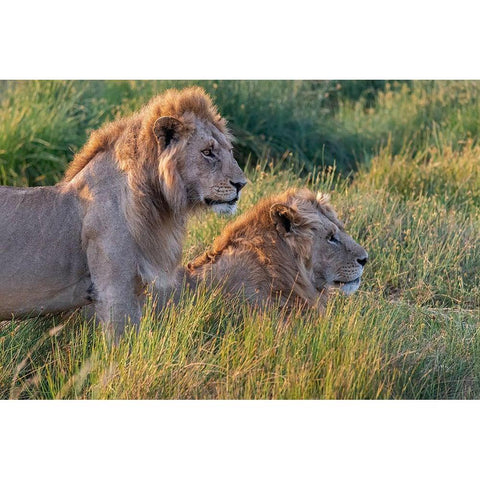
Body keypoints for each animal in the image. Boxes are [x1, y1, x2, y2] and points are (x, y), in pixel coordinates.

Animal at [0, 87, 248, 338]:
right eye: (207, 152)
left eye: (230, 151)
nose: (242, 184)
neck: (156, 205)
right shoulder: (113, 290)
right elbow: (122, 343)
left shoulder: (135, 288)